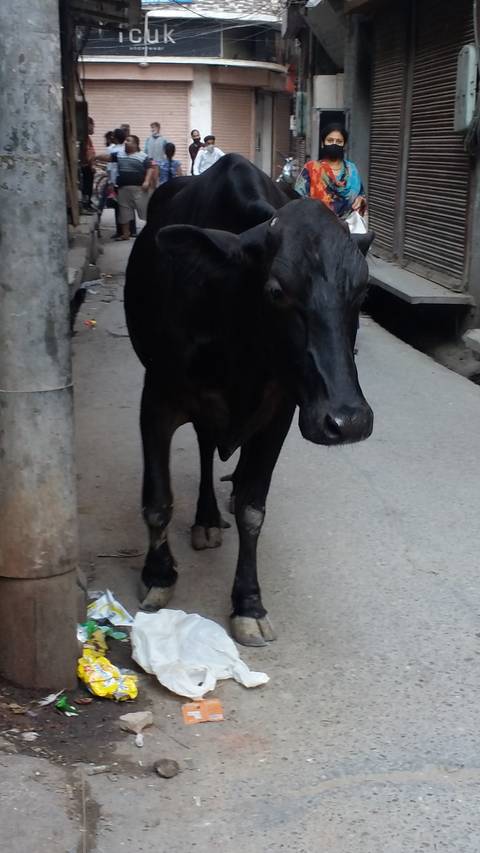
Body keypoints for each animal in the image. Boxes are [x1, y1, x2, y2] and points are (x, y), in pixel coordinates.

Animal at [124, 154, 374, 647]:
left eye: (363, 291)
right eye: (276, 291)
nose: (348, 421)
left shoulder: (279, 413)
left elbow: (251, 510)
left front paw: (248, 603)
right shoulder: (156, 398)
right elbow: (158, 500)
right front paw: (158, 576)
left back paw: (208, 516)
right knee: (204, 449)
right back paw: (202, 519)